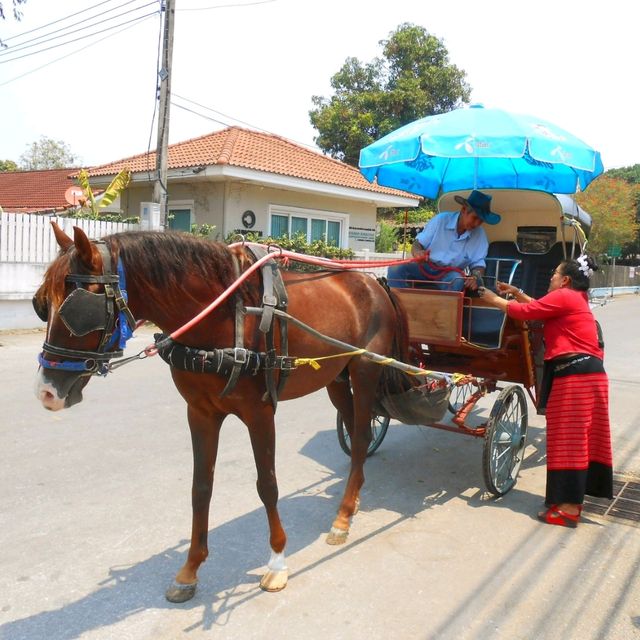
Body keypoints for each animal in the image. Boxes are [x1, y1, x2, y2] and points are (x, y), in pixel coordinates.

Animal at [32, 222, 408, 604]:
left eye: (77, 312)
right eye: (41, 305)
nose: (46, 392)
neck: (226, 315)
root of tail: (373, 283)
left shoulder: (260, 413)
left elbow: (267, 484)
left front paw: (277, 562)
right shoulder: (200, 413)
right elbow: (201, 487)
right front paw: (190, 569)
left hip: (365, 372)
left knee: (360, 437)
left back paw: (344, 516)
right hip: (335, 377)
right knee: (353, 428)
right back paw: (352, 500)